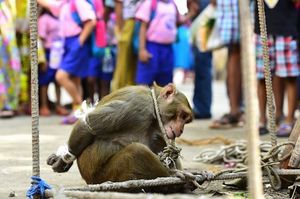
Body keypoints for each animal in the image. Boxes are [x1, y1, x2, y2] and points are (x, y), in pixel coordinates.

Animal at [47, 83, 192, 190]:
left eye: (186, 120)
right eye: (182, 115)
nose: (181, 129)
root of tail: (88, 180)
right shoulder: (138, 105)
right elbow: (86, 124)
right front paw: (64, 159)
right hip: (105, 176)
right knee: (137, 151)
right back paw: (173, 178)